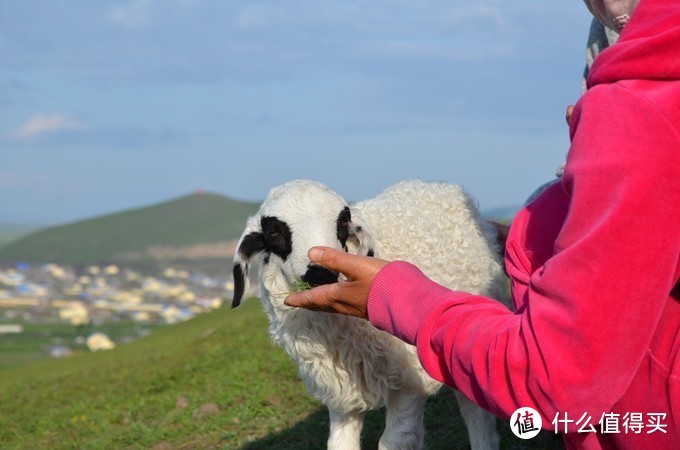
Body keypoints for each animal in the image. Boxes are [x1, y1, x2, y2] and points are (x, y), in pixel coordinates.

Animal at [231, 179, 508, 450]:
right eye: (273, 232)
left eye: (343, 221)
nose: (320, 273)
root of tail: (435, 185)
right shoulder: (341, 387)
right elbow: (339, 443)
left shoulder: (410, 380)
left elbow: (395, 440)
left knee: (475, 412)